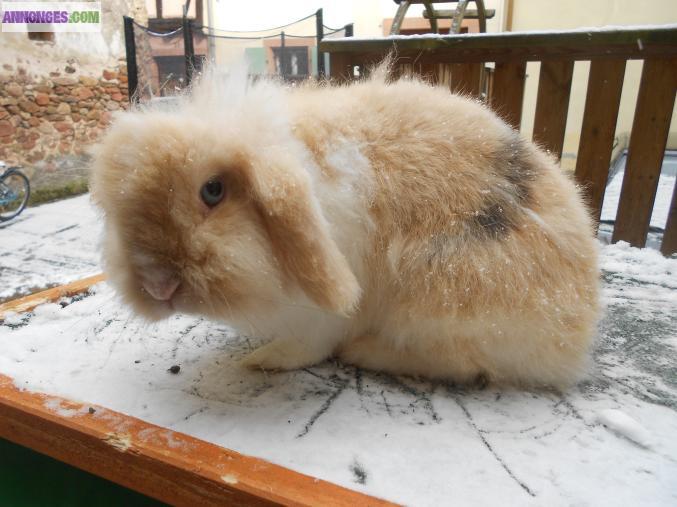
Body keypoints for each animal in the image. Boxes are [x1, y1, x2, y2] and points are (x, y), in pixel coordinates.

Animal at [90, 64, 599, 388]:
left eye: (212, 191)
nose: (157, 286)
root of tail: (573, 337)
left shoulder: (321, 313)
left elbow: (308, 345)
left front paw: (263, 360)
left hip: (439, 297)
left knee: (470, 367)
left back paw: (365, 352)